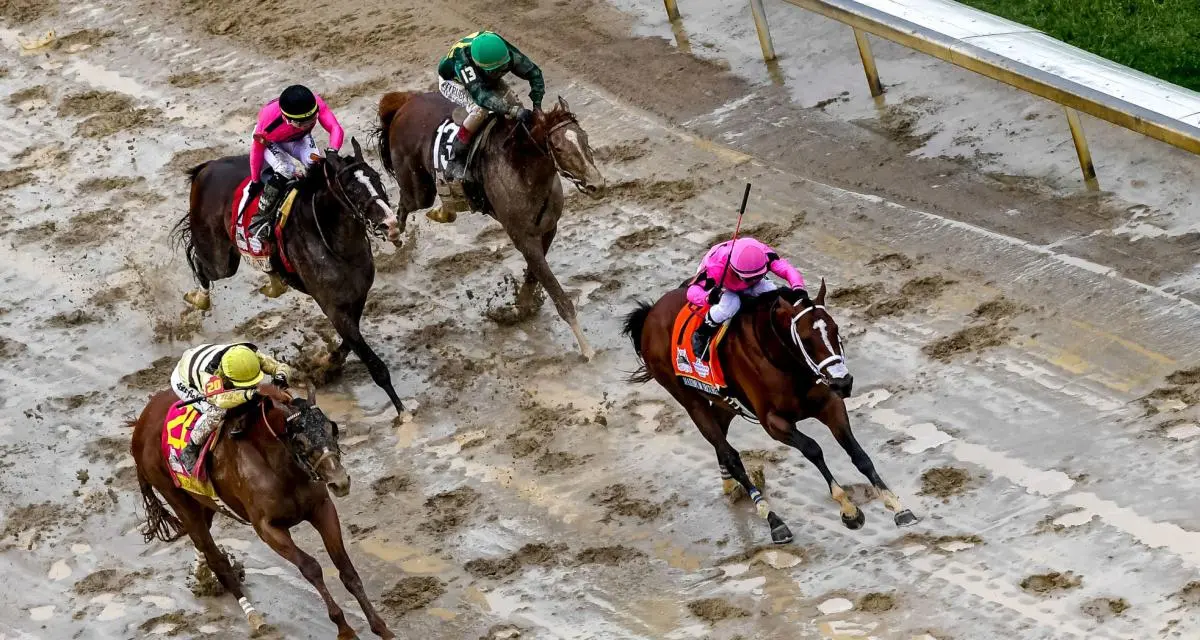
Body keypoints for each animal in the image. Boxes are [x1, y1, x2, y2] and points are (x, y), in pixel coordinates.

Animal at [131, 381, 393, 633]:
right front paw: (344, 628)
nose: (340, 481)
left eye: (333, 428)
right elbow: (311, 567)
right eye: (299, 440)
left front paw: (381, 627)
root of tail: (139, 428)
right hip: (180, 501)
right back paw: (253, 616)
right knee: (215, 557)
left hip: (204, 503)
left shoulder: (322, 509)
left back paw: (201, 575)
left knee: (203, 545)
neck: (280, 465)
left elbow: (346, 568)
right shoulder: (268, 528)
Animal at [172, 139, 408, 413]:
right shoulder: (332, 306)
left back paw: (273, 283)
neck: (337, 244)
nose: (391, 224)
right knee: (202, 265)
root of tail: (207, 167)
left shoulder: (357, 296)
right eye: (352, 189)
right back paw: (199, 298)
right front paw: (403, 413)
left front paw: (327, 363)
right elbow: (372, 361)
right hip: (220, 259)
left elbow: (350, 342)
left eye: (377, 178)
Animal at [374, 91, 604, 360]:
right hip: (419, 190)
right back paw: (395, 234)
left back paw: (442, 212)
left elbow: (534, 275)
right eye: (557, 147)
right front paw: (587, 349)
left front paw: (520, 307)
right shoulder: (522, 237)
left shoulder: (548, 229)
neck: (522, 167)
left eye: (584, 138)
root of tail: (404, 102)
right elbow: (555, 291)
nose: (597, 185)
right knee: (404, 206)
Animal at [628, 282, 916, 540]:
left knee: (722, 442)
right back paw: (772, 519)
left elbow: (858, 453)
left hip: (726, 402)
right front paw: (848, 508)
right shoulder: (774, 422)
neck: (782, 359)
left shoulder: (830, 405)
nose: (843, 382)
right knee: (729, 454)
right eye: (807, 340)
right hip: (690, 401)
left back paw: (730, 487)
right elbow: (813, 449)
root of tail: (651, 313)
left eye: (835, 329)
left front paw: (896, 505)